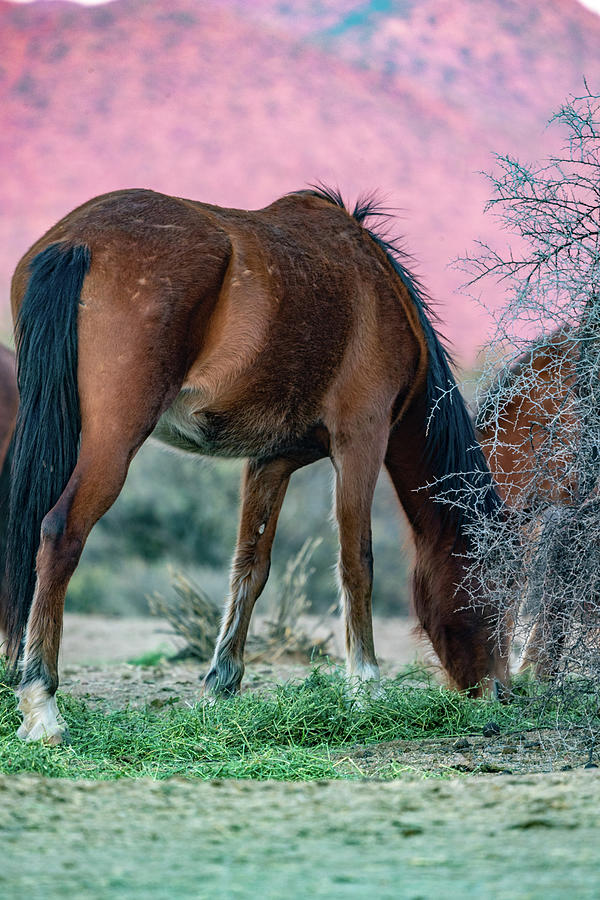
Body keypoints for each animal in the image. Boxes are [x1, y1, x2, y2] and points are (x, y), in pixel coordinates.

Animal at [7, 186, 506, 740]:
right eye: (494, 581)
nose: (500, 691)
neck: (378, 288)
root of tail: (75, 241)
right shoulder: (361, 440)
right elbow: (357, 561)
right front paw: (366, 688)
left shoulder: (272, 461)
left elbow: (251, 566)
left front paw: (220, 686)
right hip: (113, 441)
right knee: (59, 533)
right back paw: (42, 706)